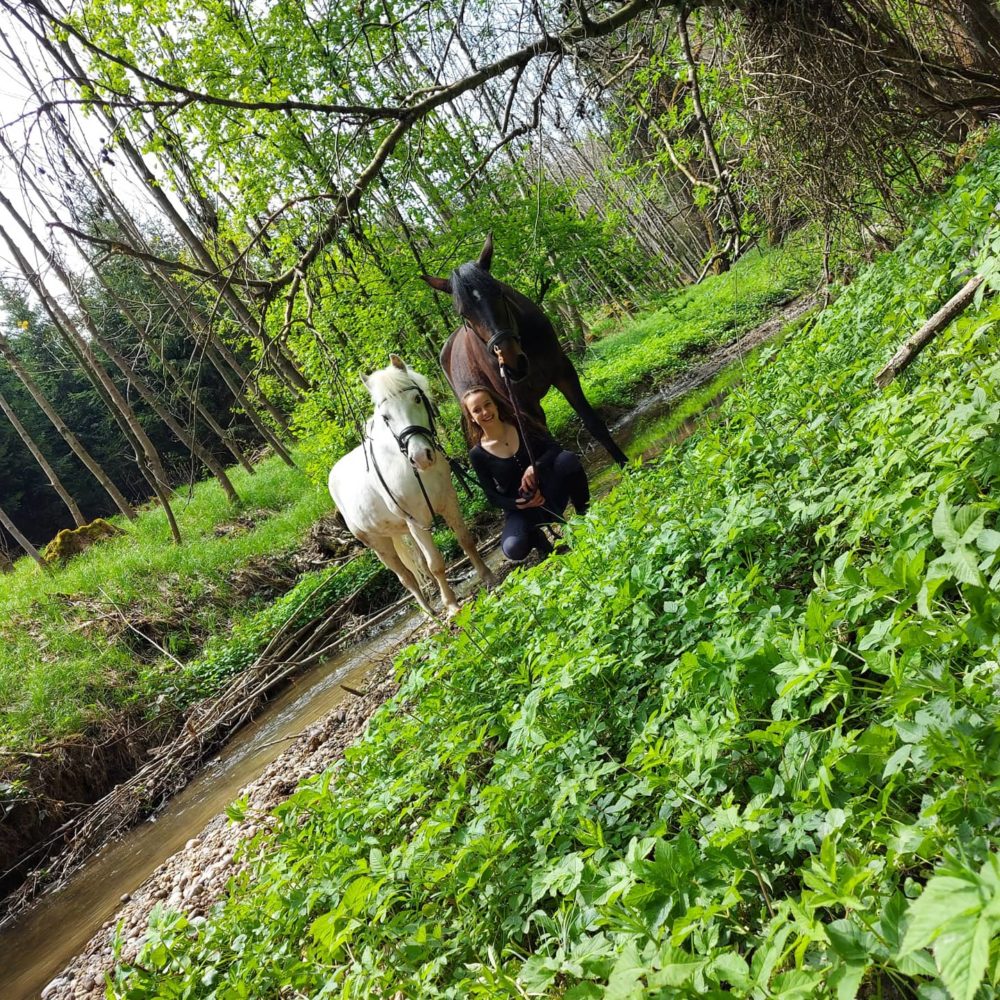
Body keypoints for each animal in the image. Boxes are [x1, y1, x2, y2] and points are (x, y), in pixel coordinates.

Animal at [328, 352, 496, 616]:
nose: (420, 457)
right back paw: (429, 612)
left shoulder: (449, 502)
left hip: (403, 529)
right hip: (379, 543)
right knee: (406, 577)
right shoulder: (418, 521)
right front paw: (452, 606)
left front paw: (487, 577)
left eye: (417, 399)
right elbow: (435, 563)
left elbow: (466, 541)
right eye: (385, 417)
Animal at [420, 235, 624, 468]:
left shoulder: (564, 372)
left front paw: (625, 464)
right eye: (464, 314)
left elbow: (593, 422)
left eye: (500, 292)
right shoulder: (522, 404)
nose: (512, 363)